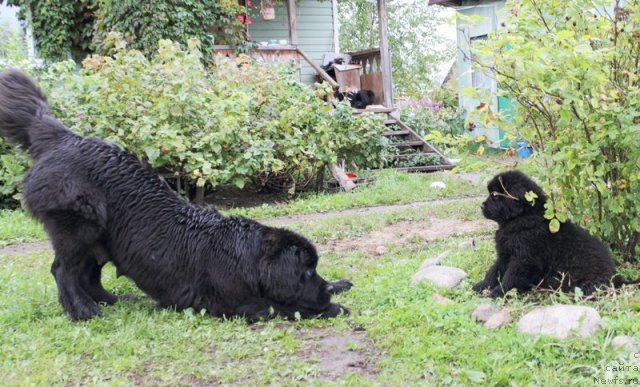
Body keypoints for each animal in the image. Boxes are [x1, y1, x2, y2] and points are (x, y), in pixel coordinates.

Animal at [0, 69, 356, 322]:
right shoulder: (231, 303)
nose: (325, 289)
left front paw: (339, 285)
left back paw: (114, 300)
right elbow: (280, 306)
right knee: (64, 271)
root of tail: (62, 137)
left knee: (88, 275)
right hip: (79, 226)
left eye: (314, 270)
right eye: (304, 273)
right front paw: (331, 307)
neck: (245, 255)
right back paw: (82, 311)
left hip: (101, 236)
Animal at [470, 171, 624, 298]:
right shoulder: (505, 254)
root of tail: (618, 278)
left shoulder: (524, 259)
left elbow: (510, 278)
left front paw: (498, 293)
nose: (481, 206)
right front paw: (481, 286)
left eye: (495, 196)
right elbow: (494, 271)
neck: (523, 216)